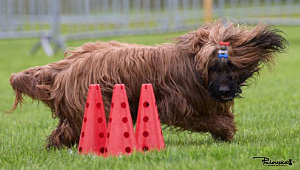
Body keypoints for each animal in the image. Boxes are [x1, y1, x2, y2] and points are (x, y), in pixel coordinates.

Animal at [8, 22, 286, 149]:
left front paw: (225, 129)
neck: (191, 64)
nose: (225, 91)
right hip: (97, 104)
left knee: (64, 131)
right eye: (212, 67)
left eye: (232, 66)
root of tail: (63, 67)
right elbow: (203, 118)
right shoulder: (178, 104)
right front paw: (224, 129)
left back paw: (56, 146)